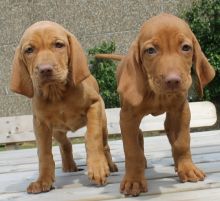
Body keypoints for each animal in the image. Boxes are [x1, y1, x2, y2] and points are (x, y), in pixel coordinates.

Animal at [9, 20, 118, 193]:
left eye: (58, 45)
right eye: (29, 50)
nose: (45, 69)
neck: (56, 93)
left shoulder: (94, 106)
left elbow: (92, 137)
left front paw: (97, 167)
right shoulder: (40, 124)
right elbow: (44, 153)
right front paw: (43, 180)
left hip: (103, 122)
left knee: (104, 144)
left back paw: (110, 165)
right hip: (57, 130)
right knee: (65, 143)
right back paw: (69, 166)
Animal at [96, 13, 215, 196]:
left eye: (186, 47)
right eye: (150, 50)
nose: (173, 81)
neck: (156, 94)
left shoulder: (181, 110)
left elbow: (182, 142)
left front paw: (187, 169)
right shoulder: (128, 117)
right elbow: (132, 151)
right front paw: (134, 180)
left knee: (168, 129)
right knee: (138, 135)